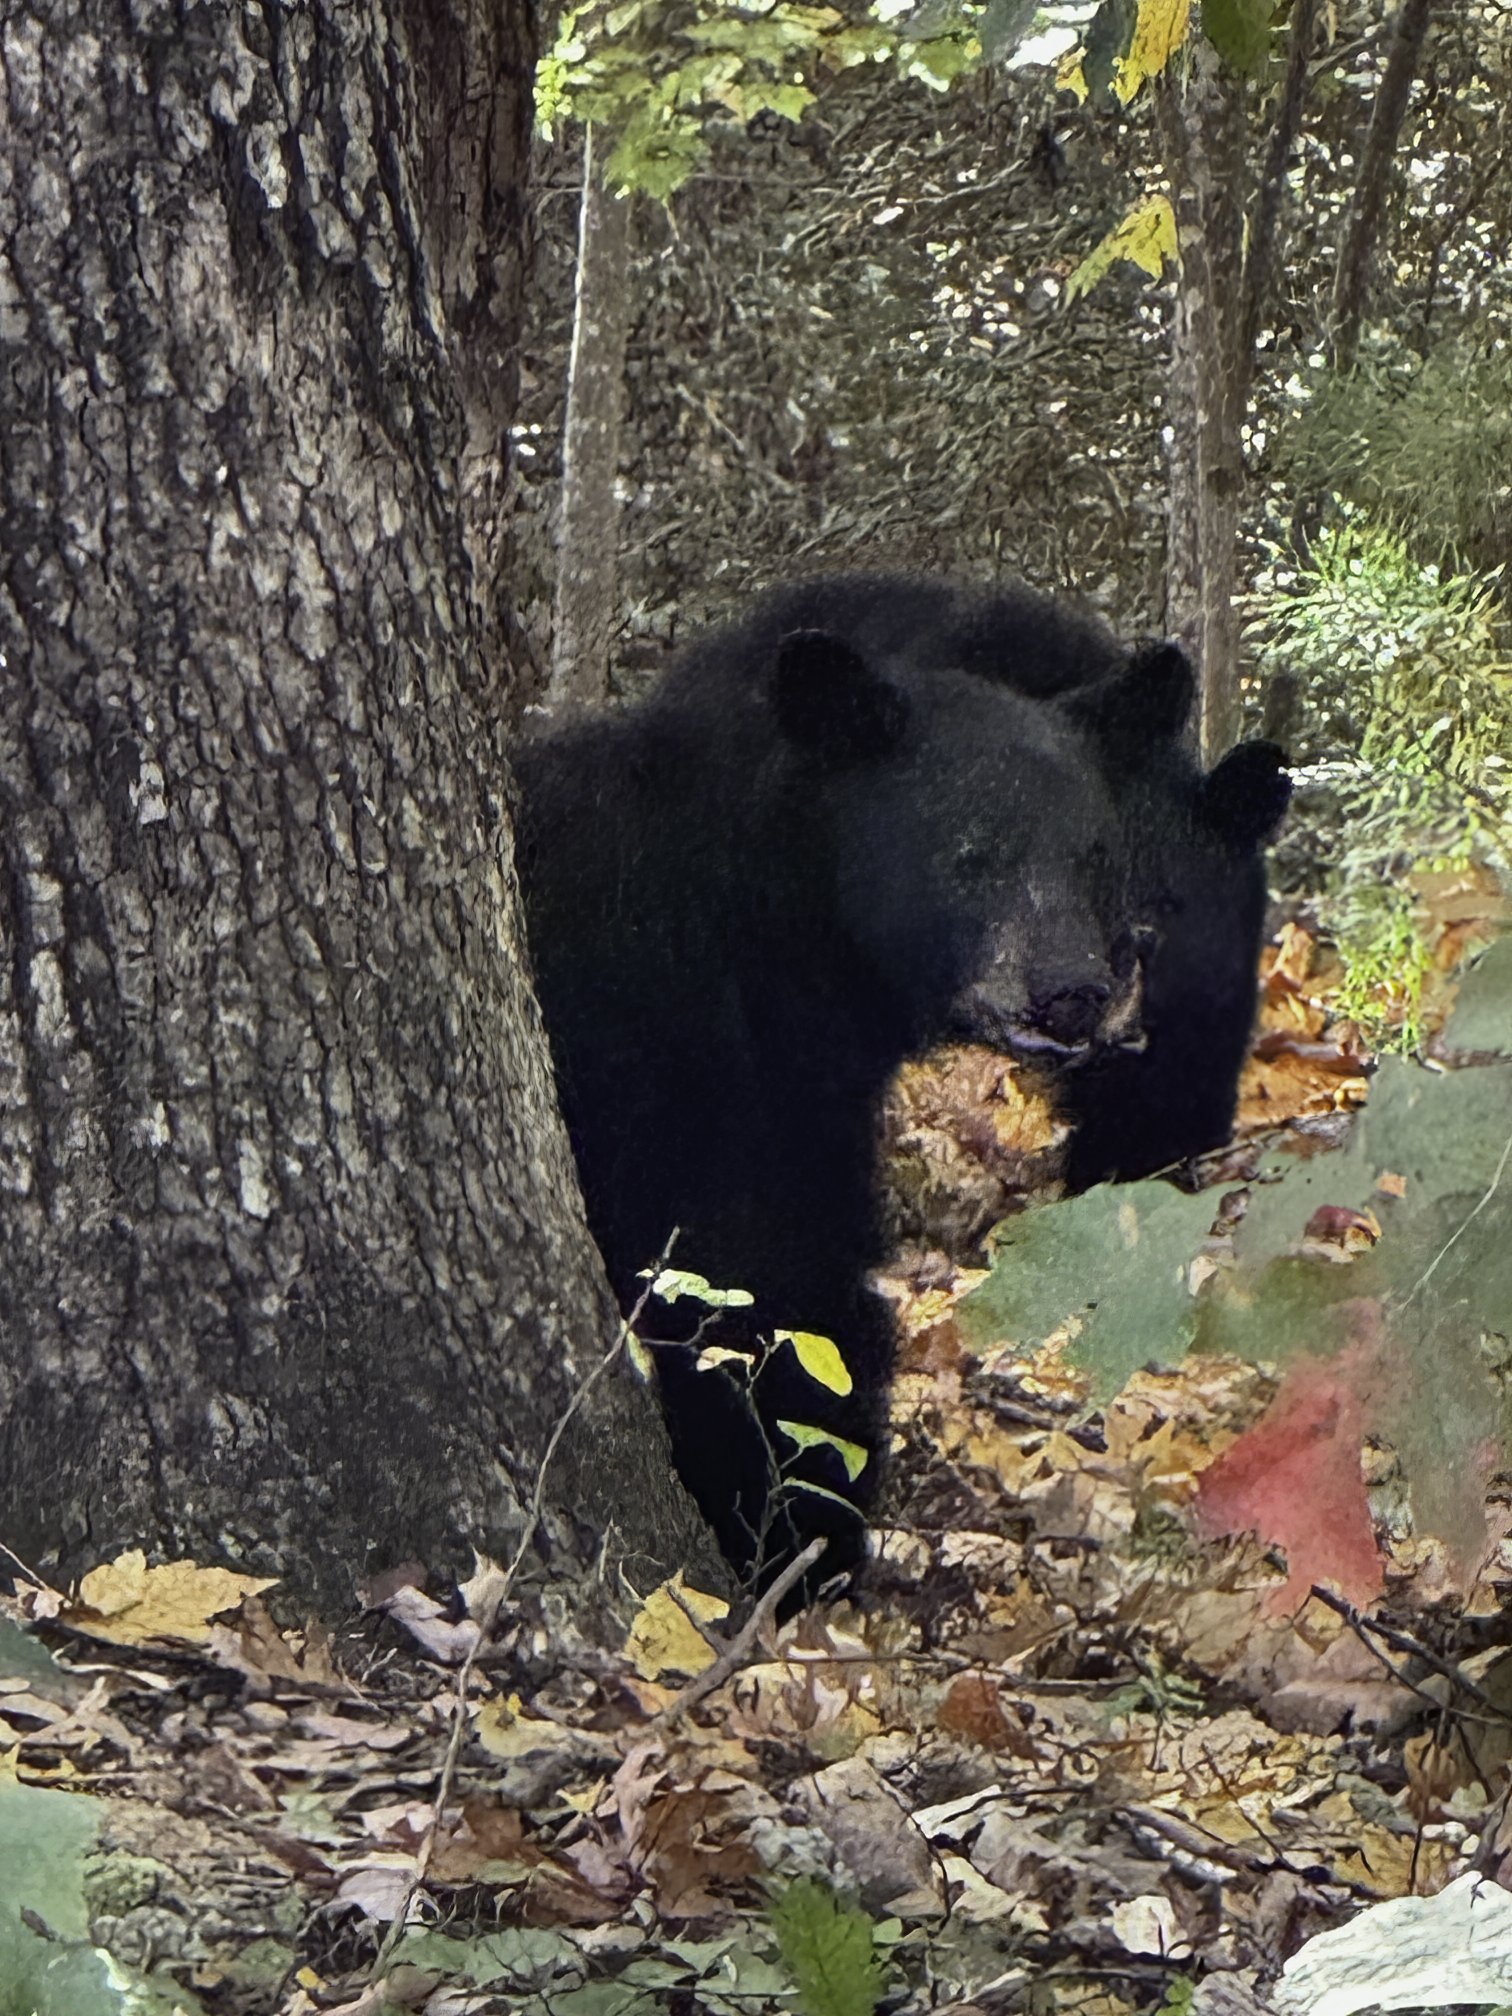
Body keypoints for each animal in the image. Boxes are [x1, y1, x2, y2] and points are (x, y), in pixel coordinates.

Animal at [512, 591, 1216, 1596]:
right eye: (971, 852)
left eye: (1093, 854)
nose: (1072, 989)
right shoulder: (668, 1051)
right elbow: (747, 1279)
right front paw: (780, 1530)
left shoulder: (807, 1092)